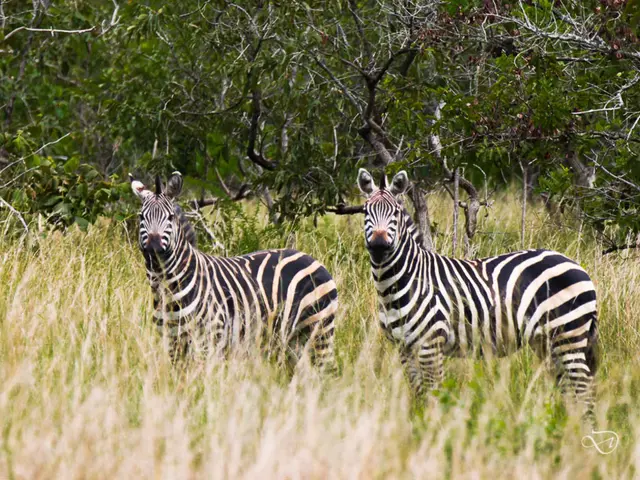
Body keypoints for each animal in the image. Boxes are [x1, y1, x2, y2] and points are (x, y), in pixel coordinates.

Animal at [129, 171, 338, 370]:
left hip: (319, 332)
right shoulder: (173, 343)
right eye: (141, 217)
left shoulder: (210, 339)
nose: (153, 247)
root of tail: (311, 258)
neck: (168, 287)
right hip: (293, 341)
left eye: (170, 217)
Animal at [356, 168, 599, 415]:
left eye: (395, 213)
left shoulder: (431, 344)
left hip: (568, 335)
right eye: (365, 211)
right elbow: (419, 396)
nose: (378, 246)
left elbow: (434, 396)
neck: (398, 285)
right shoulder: (404, 349)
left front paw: (434, 424)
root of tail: (577, 265)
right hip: (547, 342)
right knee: (570, 391)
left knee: (584, 392)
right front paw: (419, 422)